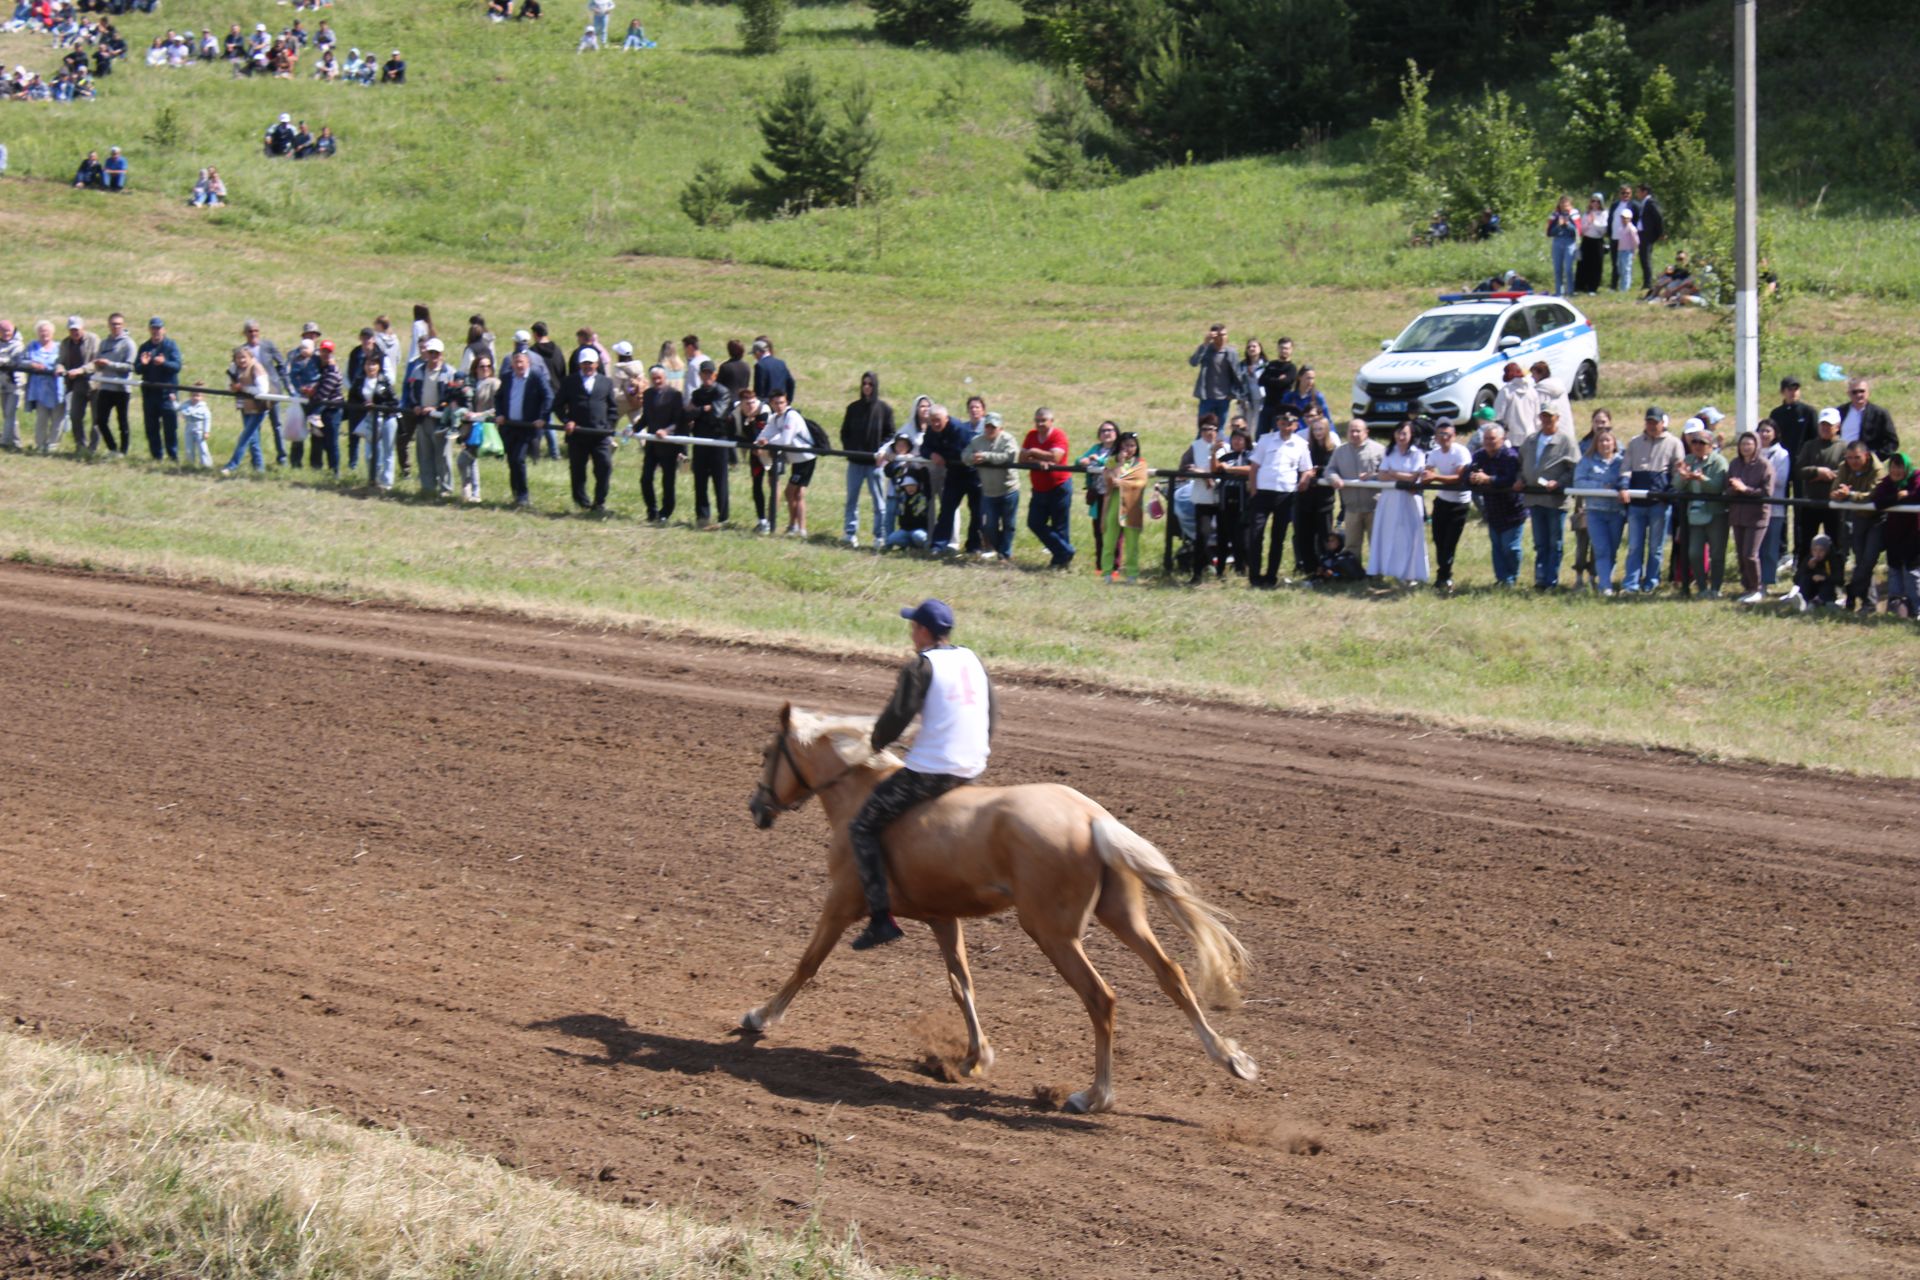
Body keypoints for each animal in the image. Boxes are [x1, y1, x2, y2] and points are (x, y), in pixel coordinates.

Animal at [737, 706, 1259, 1113]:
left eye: (765, 753)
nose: (755, 807)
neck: (859, 794)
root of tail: (1093, 819)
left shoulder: (841, 903)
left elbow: (807, 963)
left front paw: (760, 1017)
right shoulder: (943, 918)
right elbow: (961, 984)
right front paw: (975, 1057)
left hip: (1052, 932)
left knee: (1101, 997)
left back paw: (1095, 1096)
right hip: (1122, 916)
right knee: (1172, 974)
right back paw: (1231, 1059)